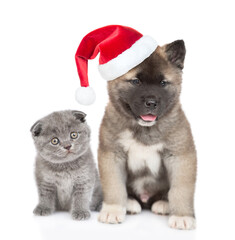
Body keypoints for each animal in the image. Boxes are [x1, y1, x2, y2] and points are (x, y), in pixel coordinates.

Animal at [97, 40, 196, 230]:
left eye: (163, 83)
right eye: (136, 81)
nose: (151, 103)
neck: (145, 130)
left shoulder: (180, 156)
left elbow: (181, 189)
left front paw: (181, 216)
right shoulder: (112, 154)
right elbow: (114, 185)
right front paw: (113, 209)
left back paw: (164, 204)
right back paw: (129, 203)